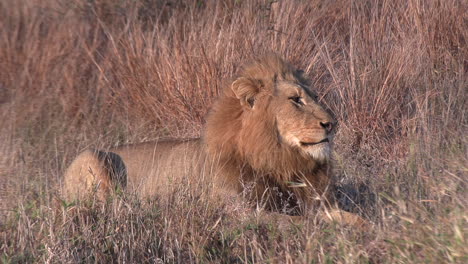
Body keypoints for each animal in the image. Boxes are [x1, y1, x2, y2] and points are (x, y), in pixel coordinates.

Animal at [64, 54, 366, 226]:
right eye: (295, 100)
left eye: (315, 96)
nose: (332, 123)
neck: (280, 160)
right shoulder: (243, 212)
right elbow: (301, 224)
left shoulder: (318, 203)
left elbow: (354, 219)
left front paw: (369, 231)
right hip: (92, 157)